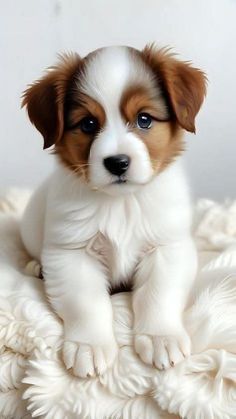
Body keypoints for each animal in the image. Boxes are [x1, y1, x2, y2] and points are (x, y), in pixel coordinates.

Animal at [21, 45, 206, 378]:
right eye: (88, 124)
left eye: (144, 119)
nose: (117, 163)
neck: (122, 203)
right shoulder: (71, 253)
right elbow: (86, 302)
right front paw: (90, 345)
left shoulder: (167, 247)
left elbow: (158, 293)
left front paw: (160, 336)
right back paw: (34, 266)